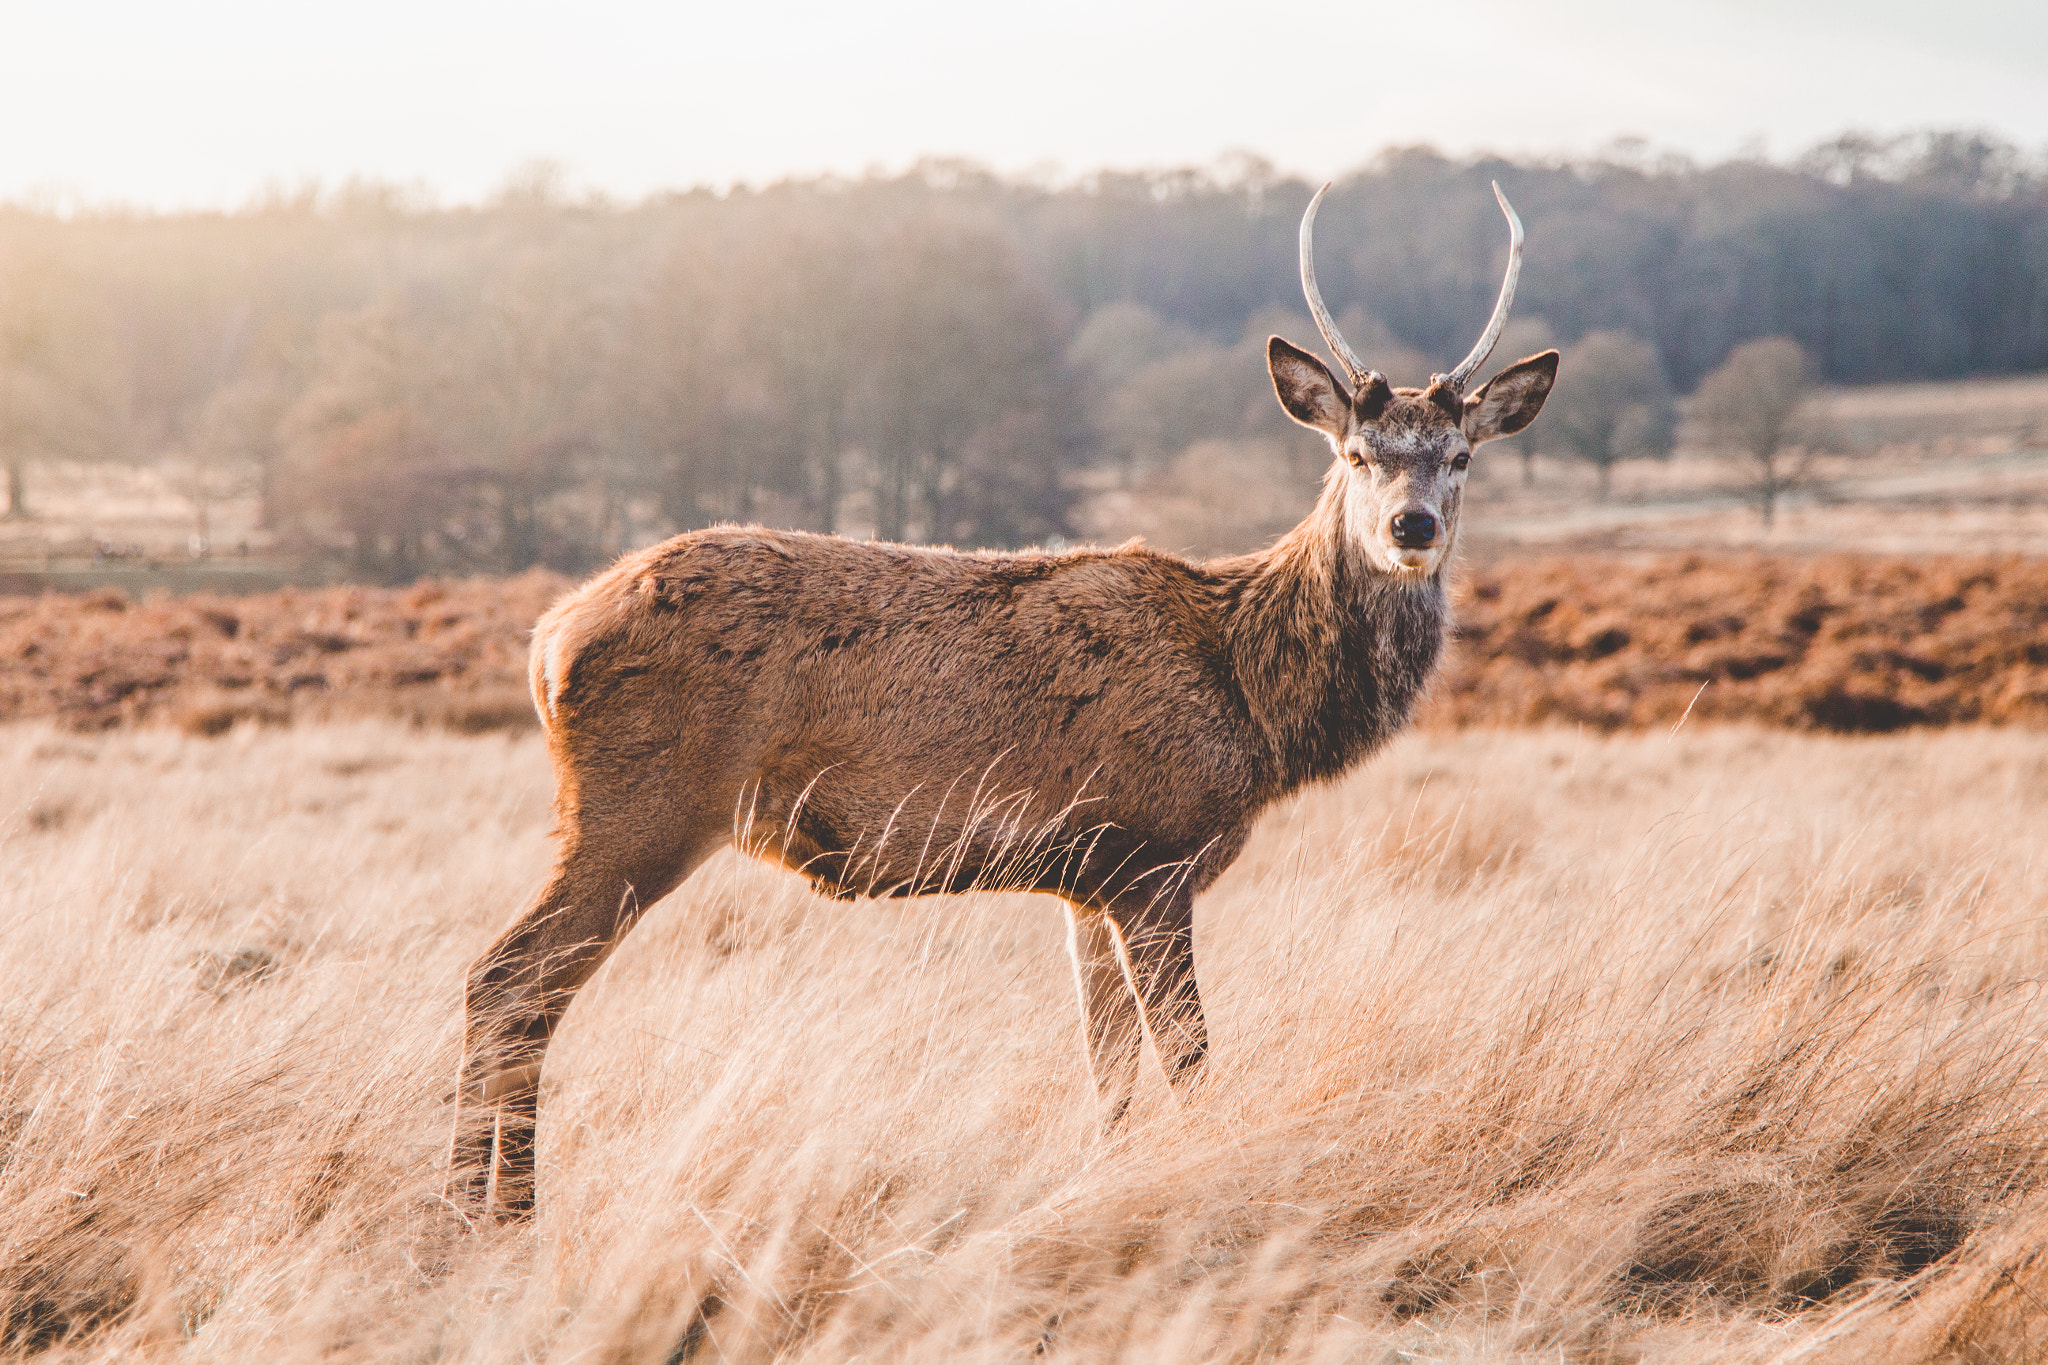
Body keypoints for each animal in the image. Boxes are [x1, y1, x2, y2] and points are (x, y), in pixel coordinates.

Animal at [456, 179, 1556, 1219]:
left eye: (1460, 456)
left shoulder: (1089, 875)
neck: (1251, 702)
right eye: (1355, 454)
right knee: (507, 980)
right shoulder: (1154, 849)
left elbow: (1109, 1075)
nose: (1411, 527)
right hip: (641, 807)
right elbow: (1189, 1064)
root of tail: (549, 639)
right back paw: (487, 1221)